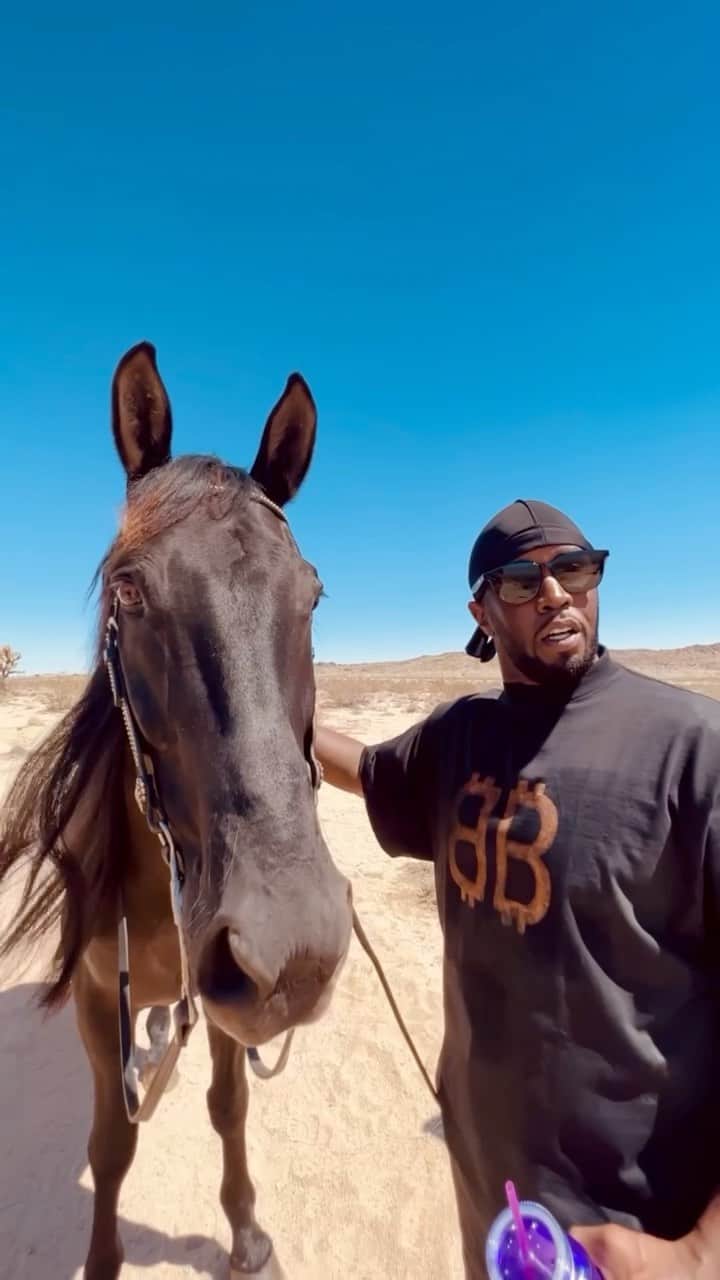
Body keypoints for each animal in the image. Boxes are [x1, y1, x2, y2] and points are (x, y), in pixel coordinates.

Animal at [0, 341, 354, 1279]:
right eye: (127, 592)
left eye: (312, 594)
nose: (296, 948)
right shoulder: (97, 1001)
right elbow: (111, 1144)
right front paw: (102, 1258)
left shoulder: (232, 987)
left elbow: (230, 1105)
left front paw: (247, 1233)